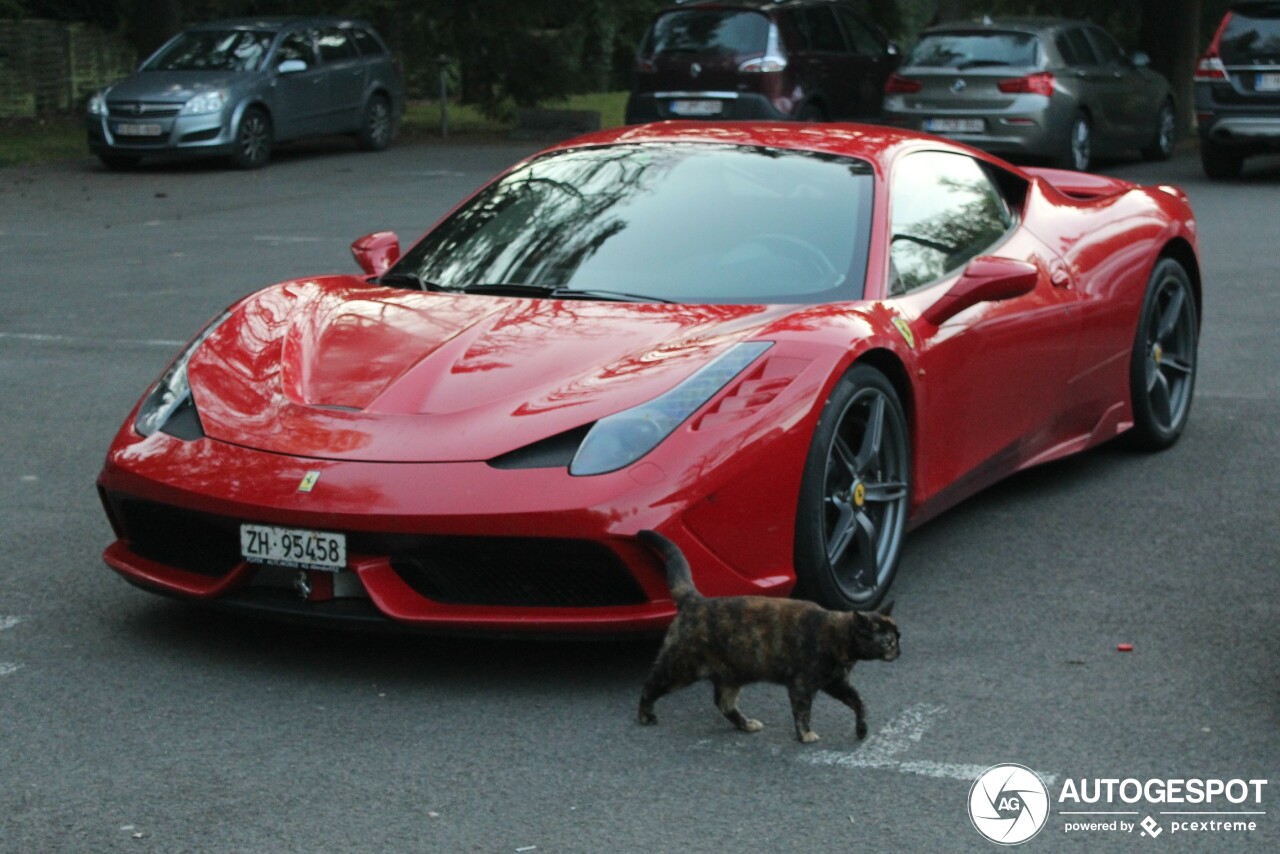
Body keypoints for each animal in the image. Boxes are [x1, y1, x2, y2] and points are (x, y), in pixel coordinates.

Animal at [632, 530, 896, 742]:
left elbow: (858, 702)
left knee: (723, 703)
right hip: (680, 667)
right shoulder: (801, 684)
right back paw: (645, 715)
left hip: (730, 675)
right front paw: (805, 735)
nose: (898, 650)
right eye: (888, 641)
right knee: (650, 684)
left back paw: (746, 723)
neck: (835, 635)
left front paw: (861, 729)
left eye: (898, 636)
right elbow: (802, 711)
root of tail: (695, 601)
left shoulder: (836, 682)